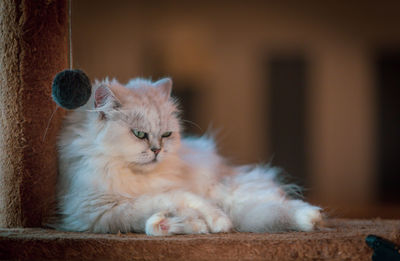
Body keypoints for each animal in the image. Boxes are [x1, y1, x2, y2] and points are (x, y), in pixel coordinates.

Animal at [55, 76, 322, 234]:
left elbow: (188, 201)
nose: (157, 150)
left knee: (277, 206)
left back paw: (312, 218)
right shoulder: (100, 212)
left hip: (227, 191)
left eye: (166, 135)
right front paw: (179, 224)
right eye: (139, 134)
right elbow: (154, 214)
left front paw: (216, 223)